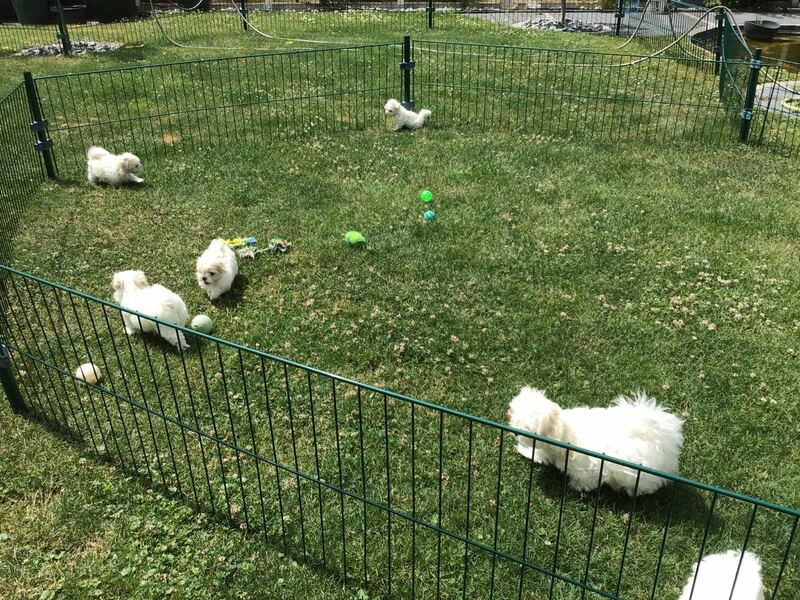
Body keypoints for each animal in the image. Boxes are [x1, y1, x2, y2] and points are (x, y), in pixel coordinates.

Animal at [507, 387, 683, 496]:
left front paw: (577, 486)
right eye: (512, 411)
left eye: (526, 428)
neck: (563, 431)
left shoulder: (590, 468)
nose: (515, 433)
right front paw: (527, 452)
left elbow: (586, 480)